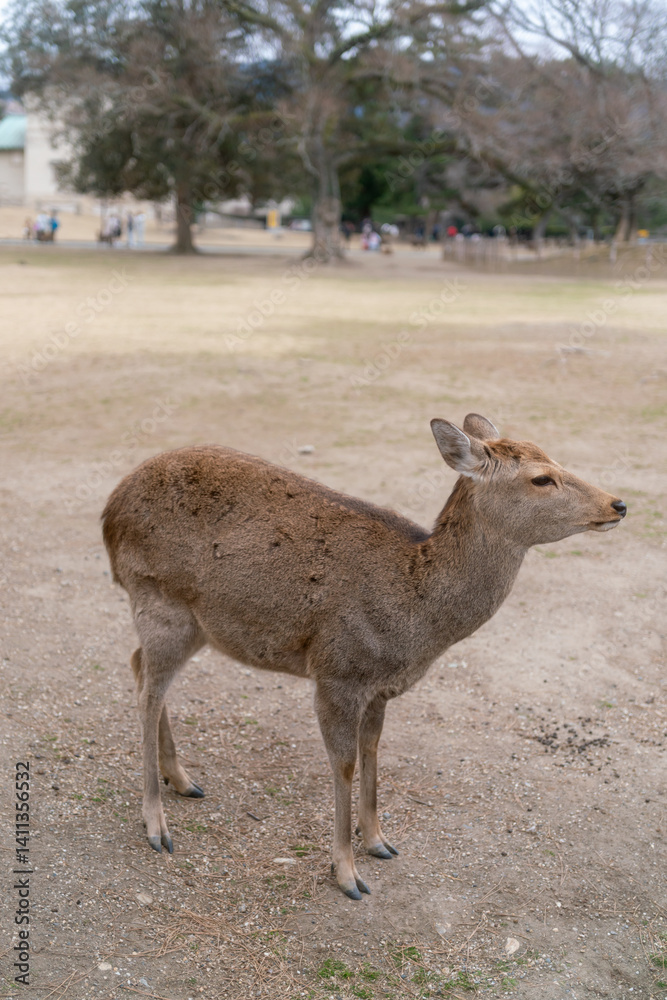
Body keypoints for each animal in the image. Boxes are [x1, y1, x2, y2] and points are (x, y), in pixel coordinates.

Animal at [102, 414, 626, 900]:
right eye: (541, 478)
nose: (618, 504)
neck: (417, 622)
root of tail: (109, 512)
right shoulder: (337, 673)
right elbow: (345, 764)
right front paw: (348, 874)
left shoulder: (382, 687)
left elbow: (373, 750)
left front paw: (378, 841)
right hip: (160, 600)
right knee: (148, 691)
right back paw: (157, 825)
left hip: (196, 624)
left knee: (137, 666)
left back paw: (182, 779)